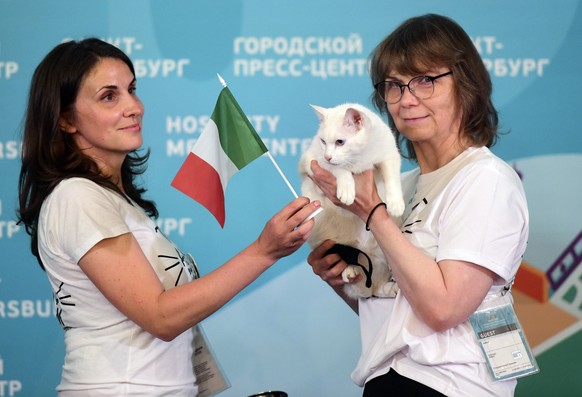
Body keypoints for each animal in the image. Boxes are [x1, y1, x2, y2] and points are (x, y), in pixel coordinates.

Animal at [302, 102, 406, 296]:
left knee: (376, 287)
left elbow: (391, 178)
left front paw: (395, 202)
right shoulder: (312, 162)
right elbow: (339, 168)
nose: (328, 155)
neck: (360, 158)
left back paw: (389, 288)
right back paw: (350, 270)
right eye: (323, 142)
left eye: (340, 142)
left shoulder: (389, 156)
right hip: (326, 240)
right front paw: (346, 189)